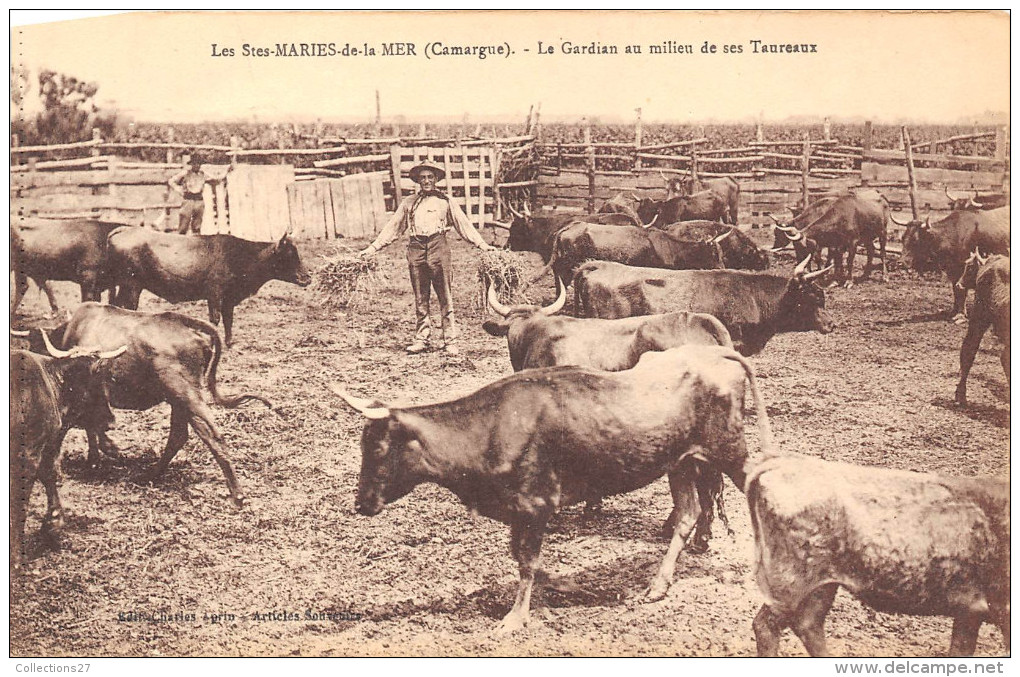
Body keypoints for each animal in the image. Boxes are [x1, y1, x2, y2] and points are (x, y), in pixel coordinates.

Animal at [109, 228, 312, 344]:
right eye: (289, 255)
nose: (308, 277)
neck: (241, 256)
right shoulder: (214, 294)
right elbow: (215, 319)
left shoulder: (228, 298)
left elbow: (228, 319)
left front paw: (230, 343)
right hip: (132, 286)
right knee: (129, 308)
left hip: (124, 286)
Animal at [334, 346, 771, 632]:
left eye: (376, 448)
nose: (361, 503)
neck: (491, 427)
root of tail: (712, 355)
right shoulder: (518, 509)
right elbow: (526, 559)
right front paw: (570, 585)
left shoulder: (536, 502)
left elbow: (527, 561)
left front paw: (515, 618)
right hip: (680, 462)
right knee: (687, 514)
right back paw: (657, 586)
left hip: (729, 449)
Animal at [746, 454, 1007, 656]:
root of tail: (783, 463)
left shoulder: (970, 610)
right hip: (788, 585)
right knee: (767, 625)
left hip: (822, 584)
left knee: (808, 624)